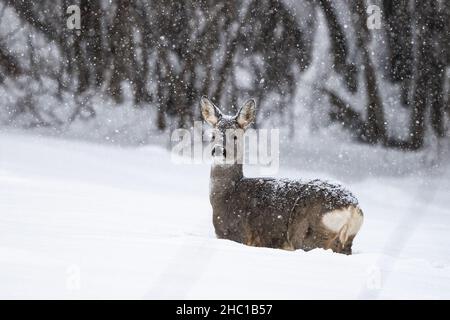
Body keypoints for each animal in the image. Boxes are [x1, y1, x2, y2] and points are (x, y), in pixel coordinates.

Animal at [202, 96, 364, 254]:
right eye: (213, 135)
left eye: (235, 136)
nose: (218, 150)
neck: (227, 195)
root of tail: (352, 207)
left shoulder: (237, 234)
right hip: (345, 239)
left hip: (309, 234)